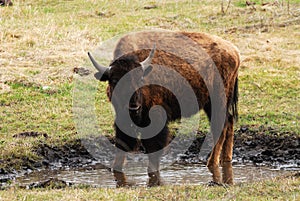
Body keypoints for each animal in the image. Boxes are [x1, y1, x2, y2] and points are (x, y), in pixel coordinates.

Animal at [88, 30, 240, 187]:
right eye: (114, 80)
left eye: (140, 79)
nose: (134, 106)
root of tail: (234, 51)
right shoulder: (122, 119)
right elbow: (122, 144)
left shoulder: (155, 120)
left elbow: (153, 147)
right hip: (212, 104)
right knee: (229, 122)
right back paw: (225, 160)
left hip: (218, 101)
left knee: (220, 127)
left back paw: (211, 163)